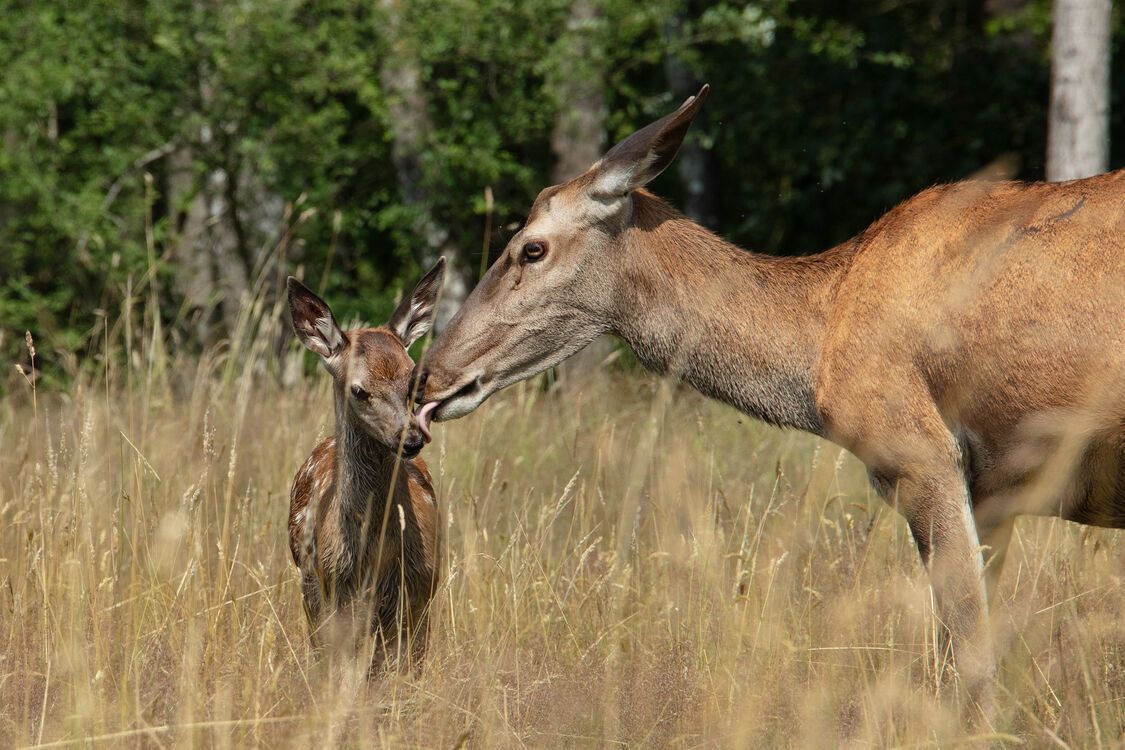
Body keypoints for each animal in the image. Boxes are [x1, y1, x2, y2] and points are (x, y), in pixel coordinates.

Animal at [285, 260, 443, 670]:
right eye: (359, 389)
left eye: (413, 380)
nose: (412, 439)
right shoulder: (331, 598)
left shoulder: (417, 598)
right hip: (309, 590)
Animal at [416, 88, 1125, 710]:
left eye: (529, 248)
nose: (430, 378)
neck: (820, 342)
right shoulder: (995, 494)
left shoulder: (920, 453)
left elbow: (968, 649)